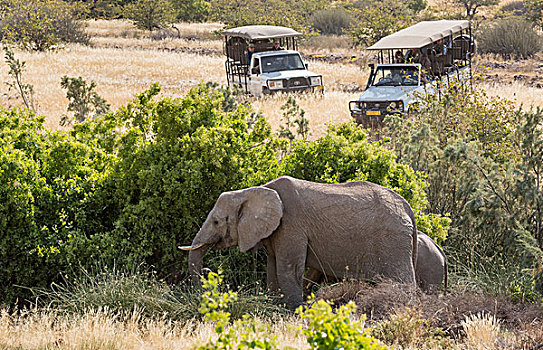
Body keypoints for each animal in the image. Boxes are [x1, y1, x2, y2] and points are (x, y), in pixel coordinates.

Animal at [181, 175, 418, 308]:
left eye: (216, 221)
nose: (207, 271)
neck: (256, 190)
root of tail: (407, 207)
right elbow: (272, 270)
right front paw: (274, 306)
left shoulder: (291, 226)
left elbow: (288, 270)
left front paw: (294, 312)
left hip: (393, 240)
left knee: (403, 281)